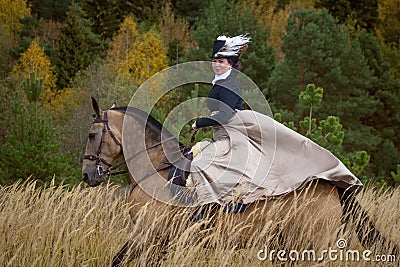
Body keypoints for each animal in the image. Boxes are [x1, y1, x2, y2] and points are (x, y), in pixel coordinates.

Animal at [82, 98, 400, 266]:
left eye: (91, 134)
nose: (87, 175)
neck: (158, 168)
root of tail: (333, 186)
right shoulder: (156, 242)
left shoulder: (147, 237)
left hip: (306, 246)